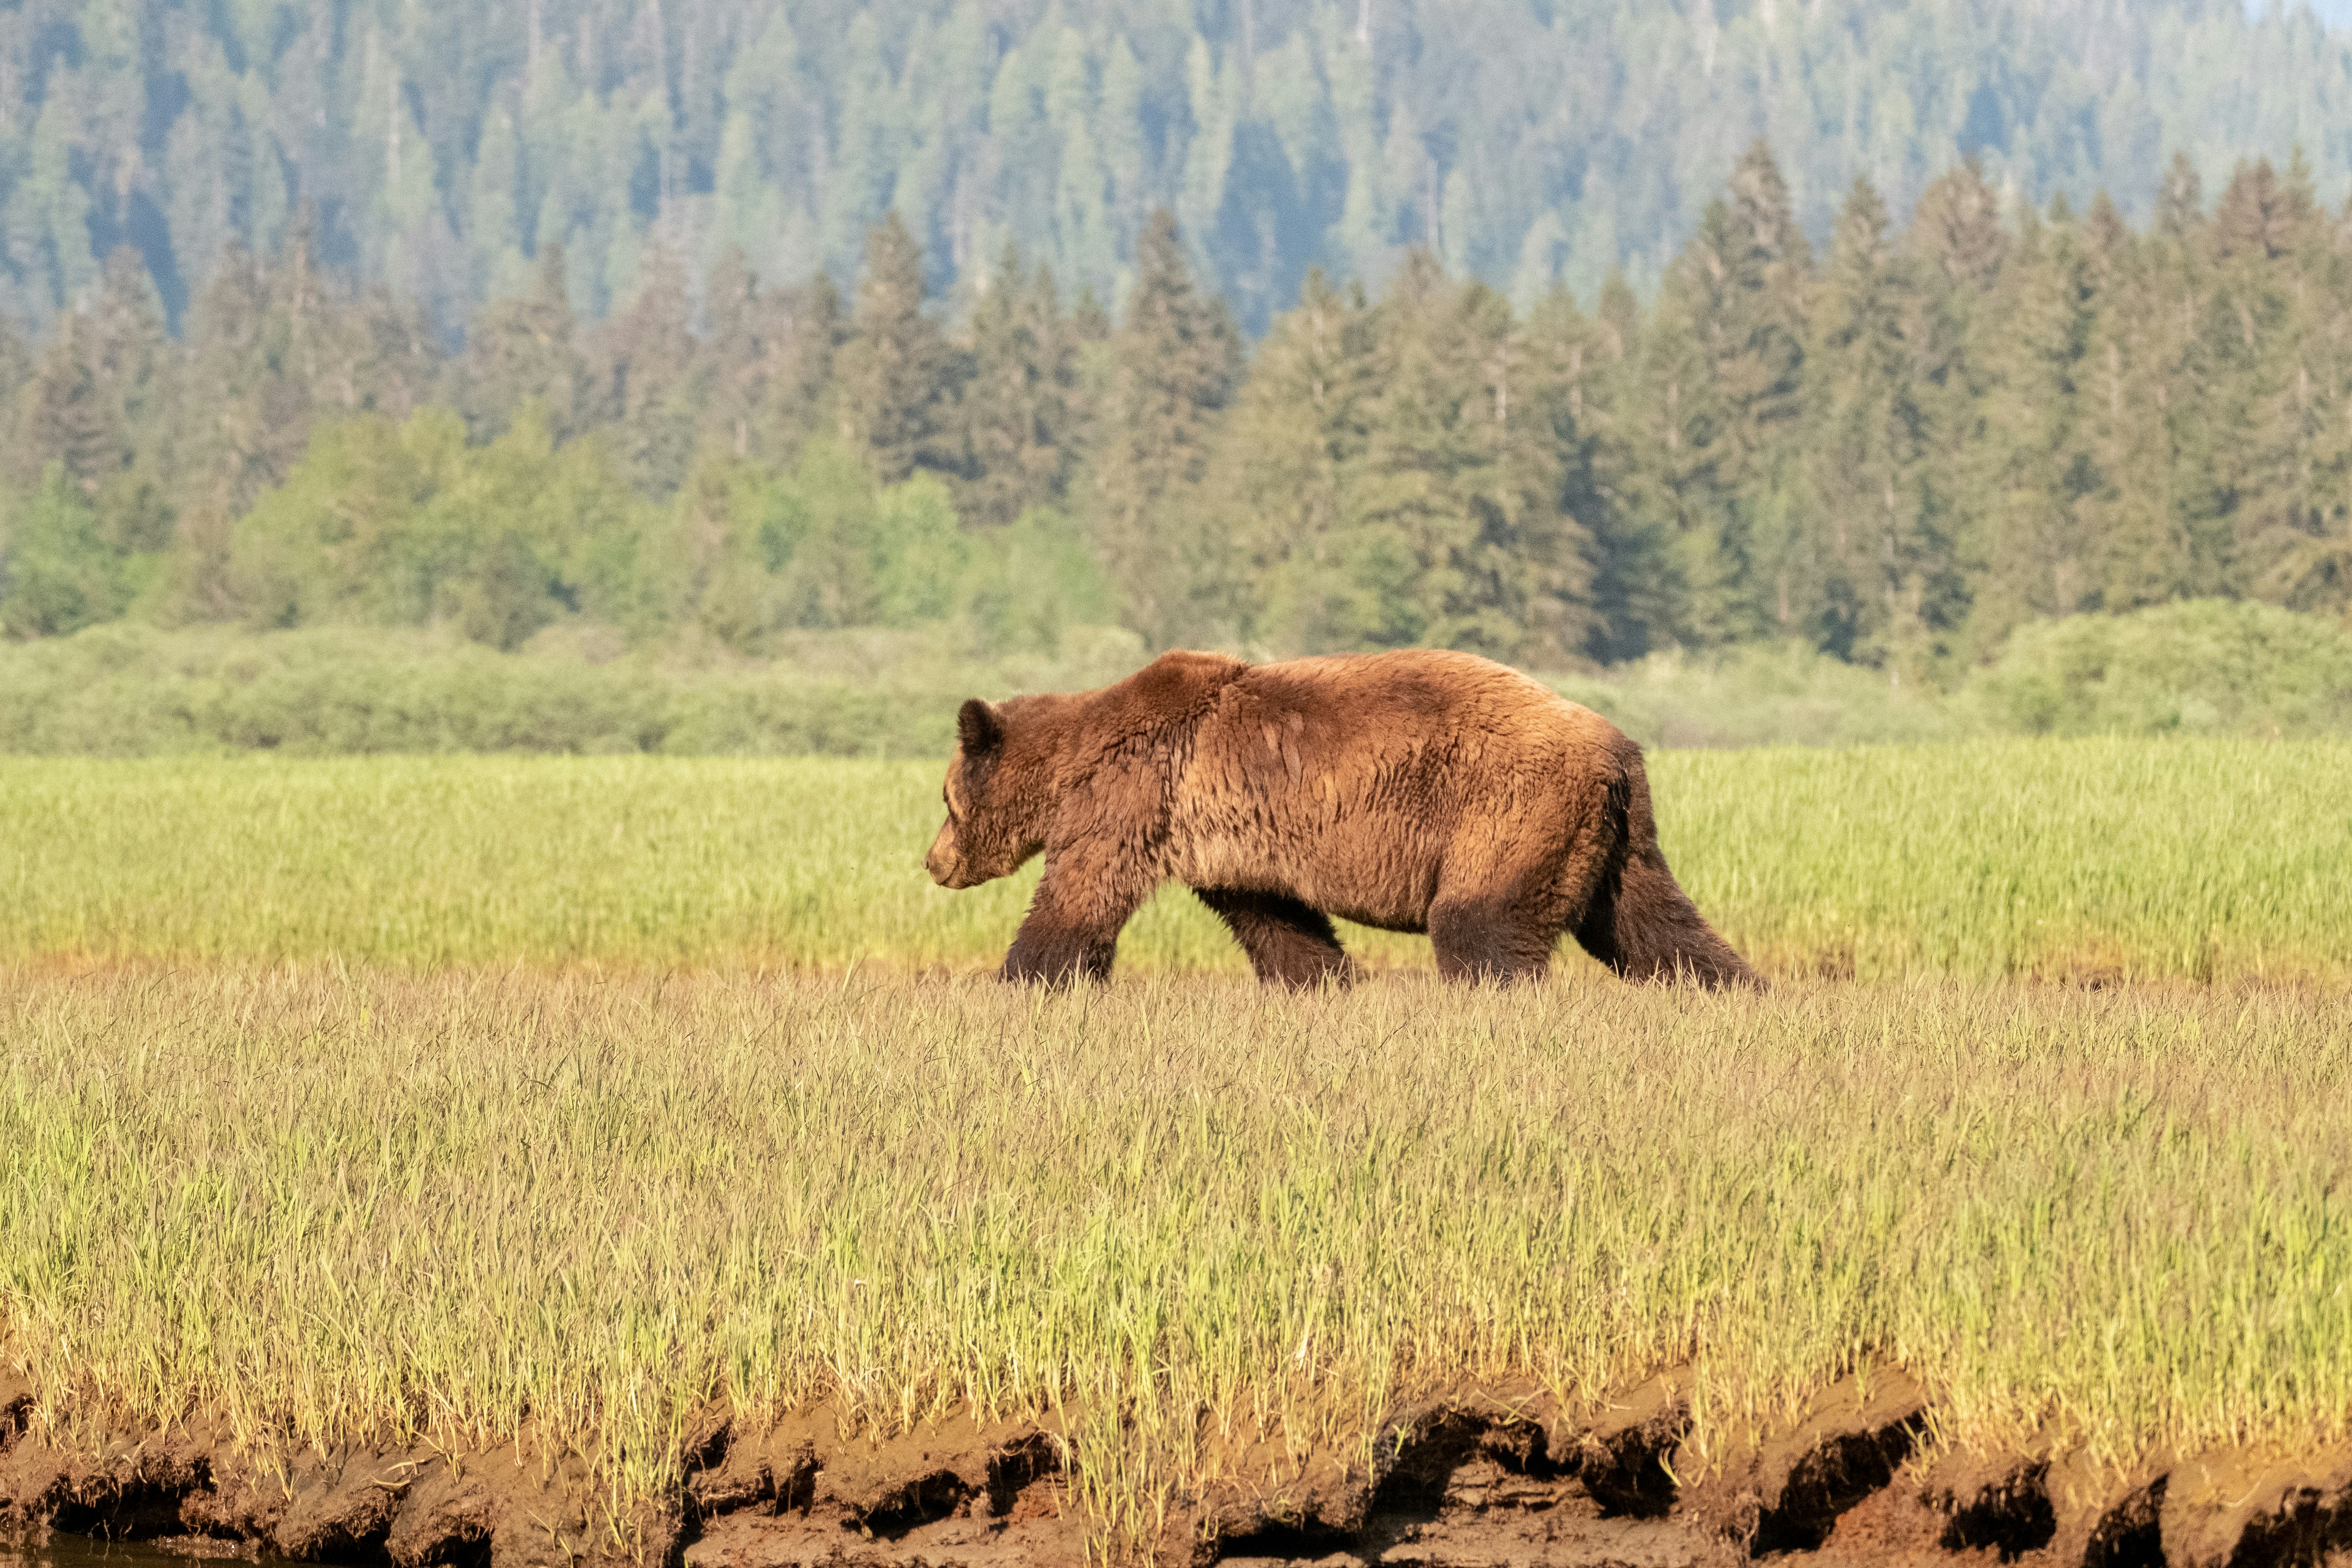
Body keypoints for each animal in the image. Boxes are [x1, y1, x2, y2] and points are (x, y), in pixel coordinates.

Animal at [924, 647, 1762, 988]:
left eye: (944, 798)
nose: (933, 862)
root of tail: (1616, 746)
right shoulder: (1232, 843)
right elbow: (1279, 923)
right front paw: (1325, 980)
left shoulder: (1132, 801)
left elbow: (1077, 902)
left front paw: (1022, 979)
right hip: (1615, 837)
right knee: (1655, 927)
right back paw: (1737, 990)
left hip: (1508, 809)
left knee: (1482, 925)